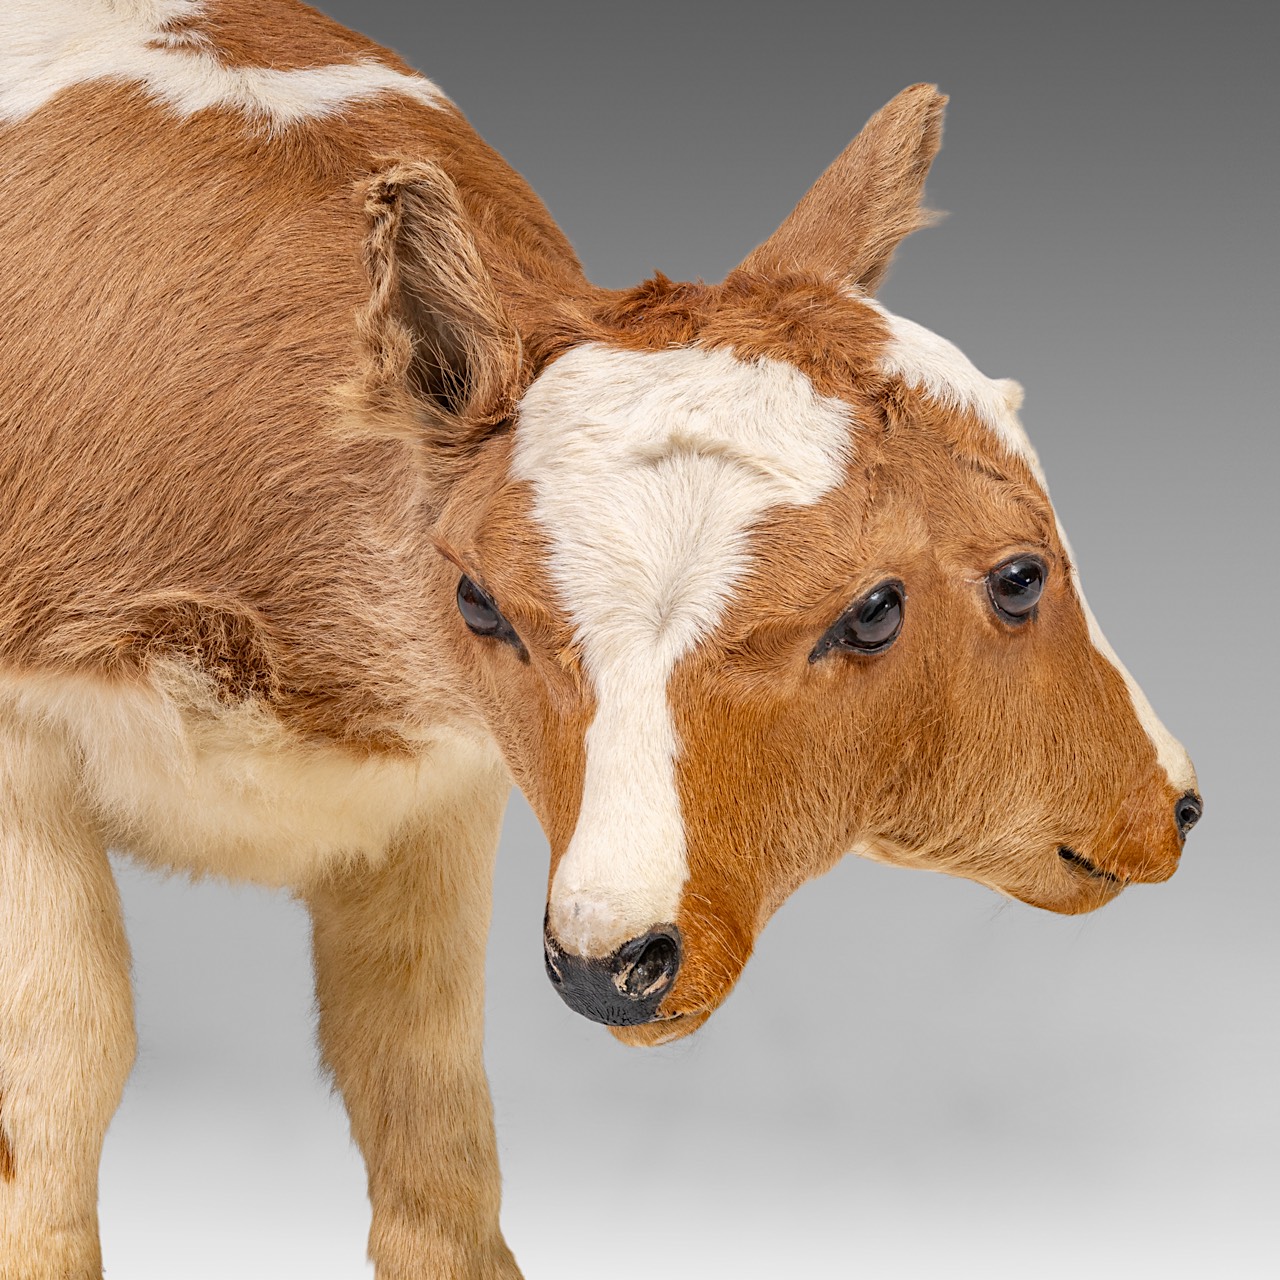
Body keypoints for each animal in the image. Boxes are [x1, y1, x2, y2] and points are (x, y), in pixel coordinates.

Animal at [0, 2, 1198, 1280]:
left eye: (1028, 565)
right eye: (480, 603)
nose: (1172, 802)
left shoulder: (444, 787)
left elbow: (419, 1061)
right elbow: (64, 1050)